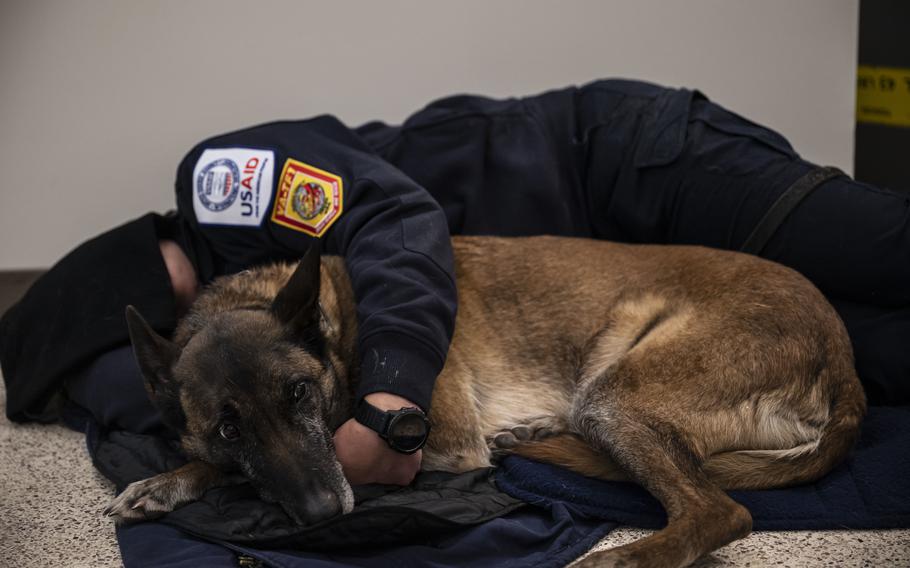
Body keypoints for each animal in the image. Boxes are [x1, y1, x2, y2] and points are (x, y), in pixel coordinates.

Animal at [108, 236, 868, 568]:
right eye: (228, 429)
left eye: (298, 393)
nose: (324, 515)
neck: (343, 331)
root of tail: (844, 358)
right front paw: (168, 480)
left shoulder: (434, 447)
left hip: (612, 396)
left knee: (720, 512)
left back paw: (621, 559)